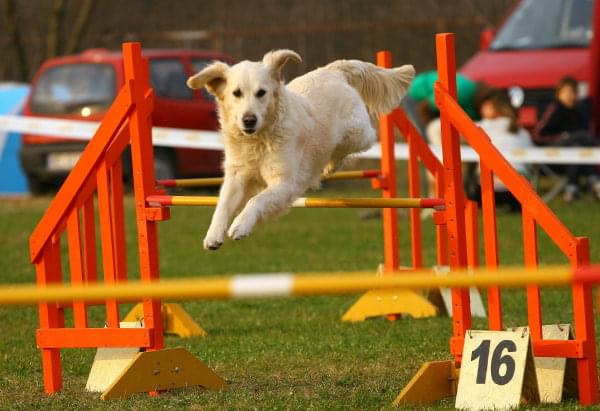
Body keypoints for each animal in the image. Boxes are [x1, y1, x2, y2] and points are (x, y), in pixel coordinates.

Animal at [186, 50, 412, 249]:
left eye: (261, 93)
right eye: (236, 93)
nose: (249, 120)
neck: (258, 140)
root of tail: (332, 70)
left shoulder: (285, 184)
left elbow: (256, 200)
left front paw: (240, 225)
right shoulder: (237, 176)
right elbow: (223, 206)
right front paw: (213, 236)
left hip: (356, 134)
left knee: (361, 141)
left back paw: (331, 166)